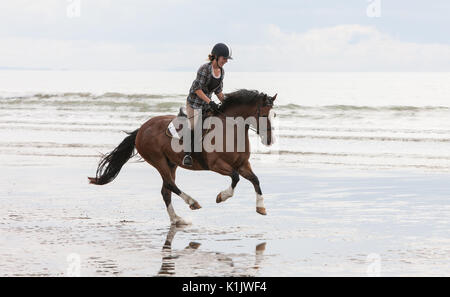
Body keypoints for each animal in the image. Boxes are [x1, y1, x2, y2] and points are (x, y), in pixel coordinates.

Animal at [88, 89, 276, 225]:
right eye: (264, 115)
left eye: (274, 115)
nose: (270, 140)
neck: (230, 130)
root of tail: (142, 129)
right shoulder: (216, 165)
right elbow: (235, 178)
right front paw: (221, 197)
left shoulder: (243, 164)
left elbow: (255, 179)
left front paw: (261, 207)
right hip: (158, 161)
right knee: (170, 185)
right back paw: (192, 203)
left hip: (171, 163)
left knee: (166, 190)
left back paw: (177, 219)